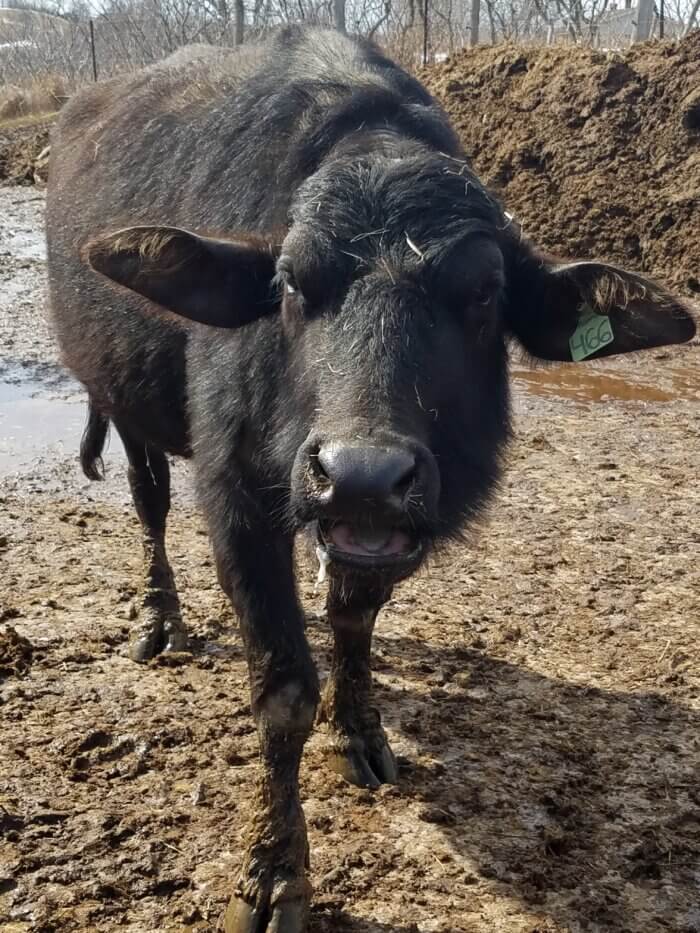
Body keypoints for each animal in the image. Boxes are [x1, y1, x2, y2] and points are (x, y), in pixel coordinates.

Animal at [46, 25, 696, 932]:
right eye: (290, 281)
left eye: (484, 293)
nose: (360, 473)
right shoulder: (238, 500)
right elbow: (283, 688)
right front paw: (274, 872)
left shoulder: (388, 525)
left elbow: (355, 616)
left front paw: (356, 728)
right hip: (117, 398)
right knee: (148, 502)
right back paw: (159, 618)